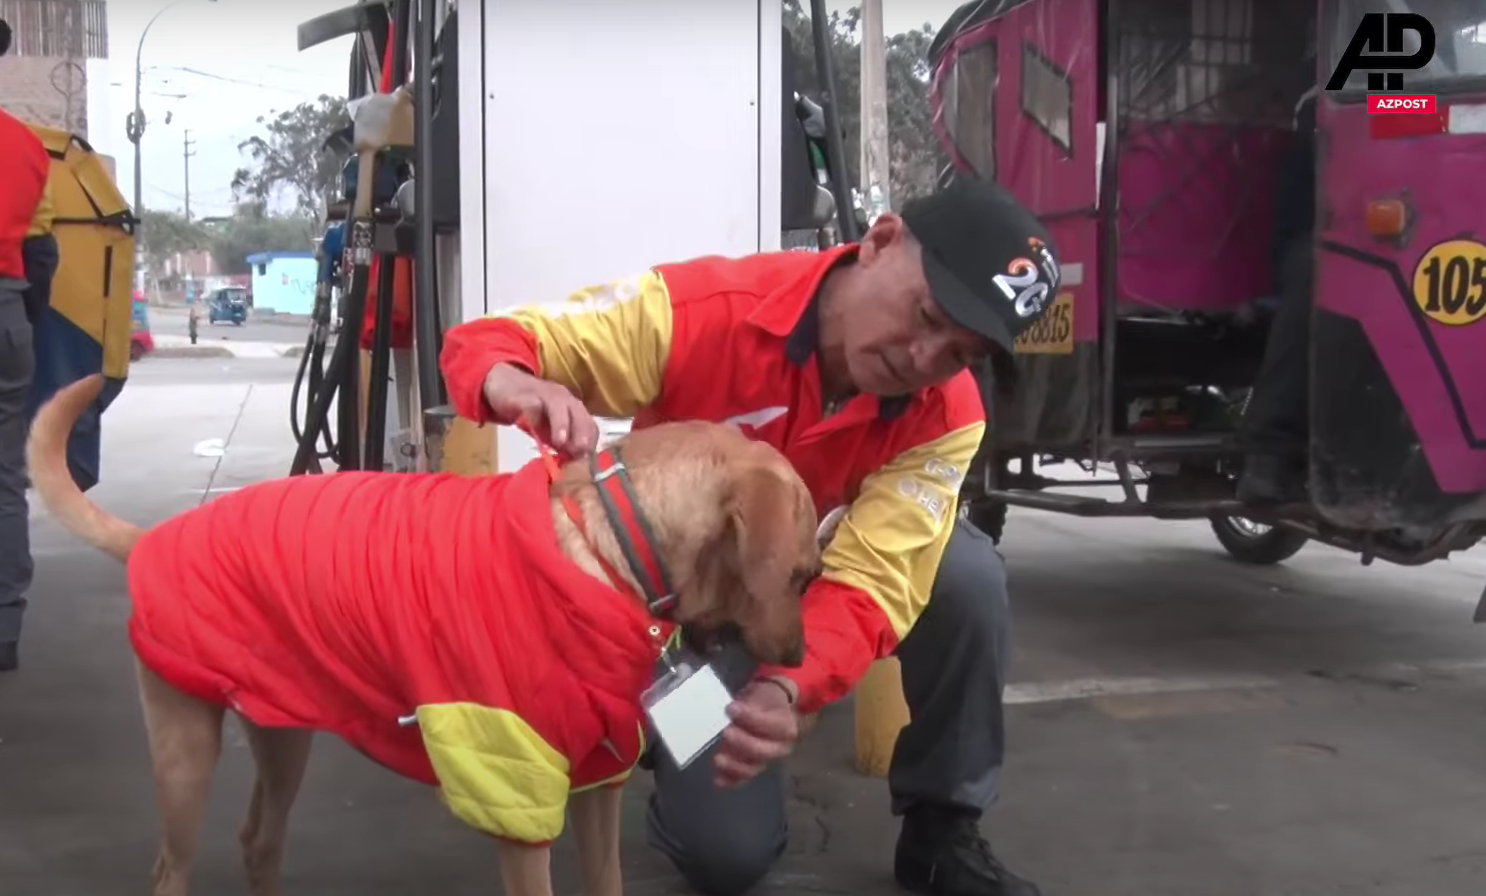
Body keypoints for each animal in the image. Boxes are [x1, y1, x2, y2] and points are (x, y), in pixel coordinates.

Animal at [28, 378, 820, 896]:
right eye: (802, 576)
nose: (799, 660)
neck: (605, 547)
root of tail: (152, 540)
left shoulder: (597, 783)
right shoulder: (519, 803)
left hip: (282, 732)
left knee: (259, 842)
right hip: (185, 756)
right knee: (173, 869)